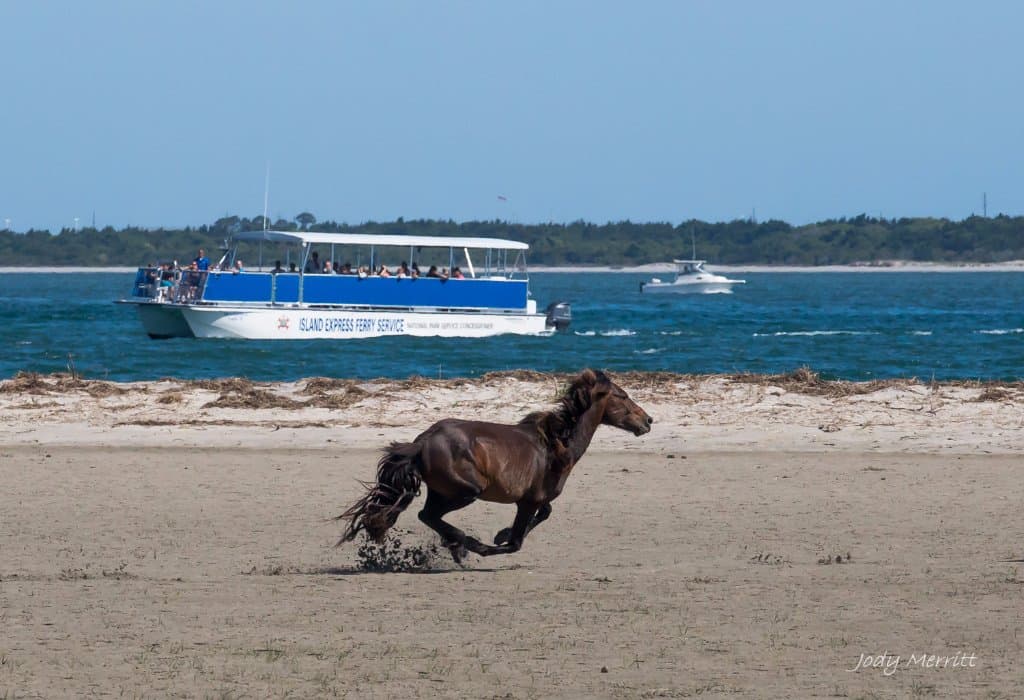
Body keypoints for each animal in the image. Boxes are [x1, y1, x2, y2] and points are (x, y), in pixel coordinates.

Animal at [337, 368, 653, 563]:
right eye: (623, 396)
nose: (648, 420)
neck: (557, 445)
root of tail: (422, 442)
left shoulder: (536, 499)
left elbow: (545, 513)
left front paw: (499, 533)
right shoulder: (528, 501)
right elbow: (515, 542)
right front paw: (493, 541)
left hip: (442, 491)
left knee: (428, 515)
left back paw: (456, 545)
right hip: (465, 492)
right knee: (428, 515)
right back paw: (462, 545)